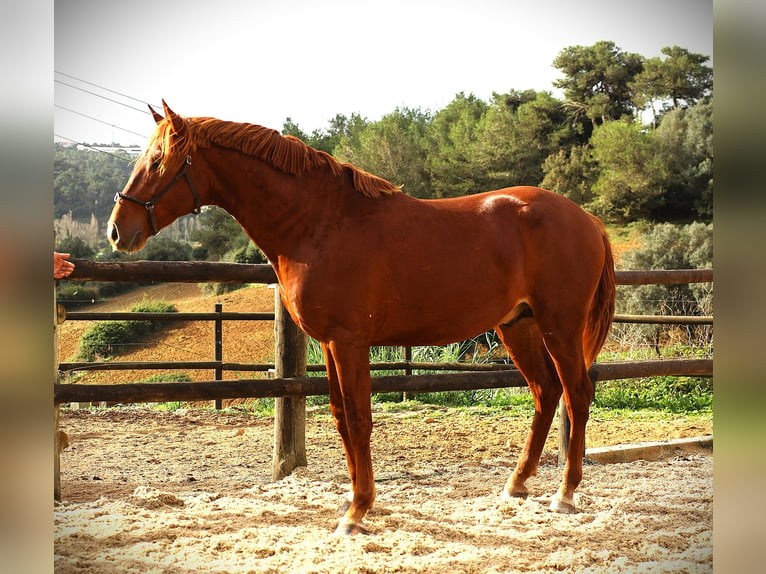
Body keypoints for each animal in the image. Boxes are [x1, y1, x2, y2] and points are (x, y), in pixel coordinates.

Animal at [108, 101, 616, 536]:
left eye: (158, 160)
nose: (117, 230)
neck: (320, 223)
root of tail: (587, 219)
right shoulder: (330, 343)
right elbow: (338, 416)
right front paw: (355, 503)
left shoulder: (348, 341)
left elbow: (358, 419)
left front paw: (357, 512)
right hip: (518, 326)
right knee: (546, 393)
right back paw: (517, 484)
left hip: (559, 326)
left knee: (576, 393)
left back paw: (565, 494)